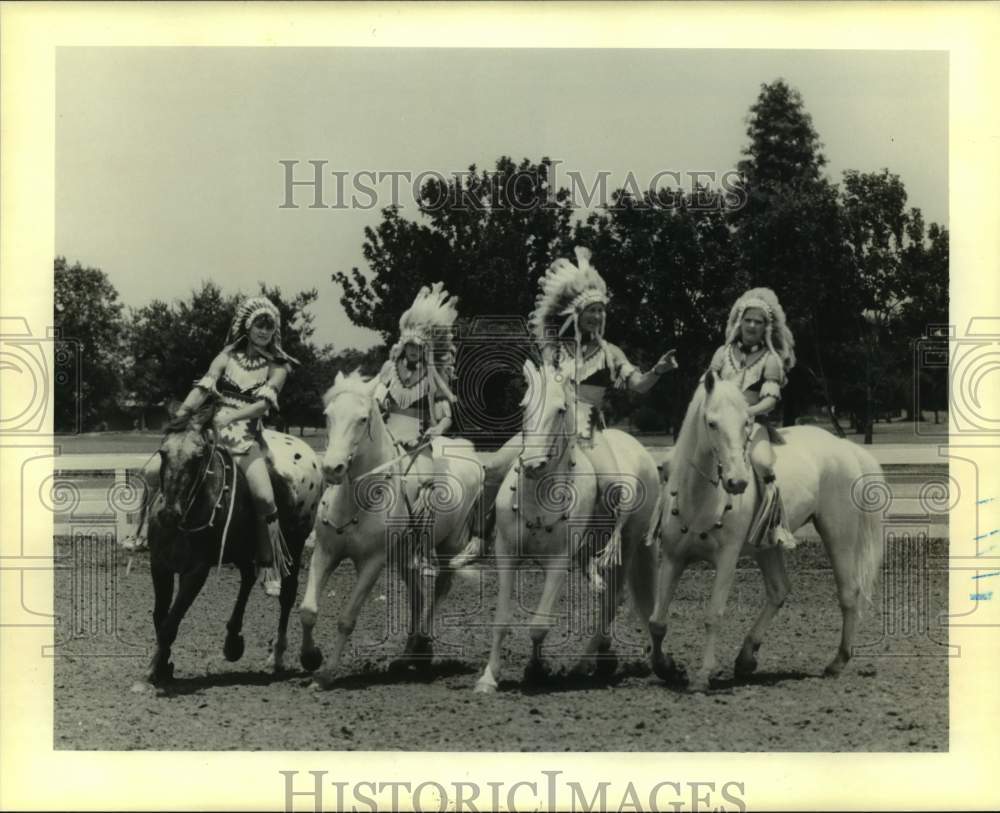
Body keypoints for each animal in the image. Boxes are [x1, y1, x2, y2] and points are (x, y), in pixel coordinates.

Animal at [144, 400, 320, 684]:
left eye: (198, 457)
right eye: (163, 452)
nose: (169, 513)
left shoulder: (196, 572)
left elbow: (170, 623)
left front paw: (153, 669)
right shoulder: (159, 564)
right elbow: (161, 618)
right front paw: (163, 665)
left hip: (293, 543)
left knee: (287, 594)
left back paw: (281, 656)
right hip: (243, 548)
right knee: (248, 577)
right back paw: (233, 640)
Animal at [296, 372, 484, 688]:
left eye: (362, 419)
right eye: (328, 415)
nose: (332, 468)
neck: (356, 499)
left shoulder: (372, 563)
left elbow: (346, 619)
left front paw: (326, 674)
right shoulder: (325, 552)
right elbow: (308, 611)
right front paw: (311, 658)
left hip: (449, 545)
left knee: (441, 587)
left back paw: (422, 645)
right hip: (404, 555)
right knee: (417, 595)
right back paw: (408, 656)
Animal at [476, 360, 664, 692]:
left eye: (561, 409)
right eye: (524, 405)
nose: (532, 463)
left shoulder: (558, 561)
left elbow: (539, 625)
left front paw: (536, 670)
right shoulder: (506, 554)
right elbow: (501, 619)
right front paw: (489, 677)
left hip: (628, 543)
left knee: (613, 599)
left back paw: (586, 662)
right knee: (606, 595)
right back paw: (601, 656)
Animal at [648, 370, 884, 692]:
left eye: (746, 423)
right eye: (711, 422)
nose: (736, 482)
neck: (700, 499)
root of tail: (845, 447)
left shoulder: (727, 559)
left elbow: (713, 614)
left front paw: (702, 674)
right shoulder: (673, 558)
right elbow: (657, 620)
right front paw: (667, 668)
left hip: (839, 534)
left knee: (848, 593)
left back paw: (836, 663)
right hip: (768, 547)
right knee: (779, 590)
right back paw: (746, 658)